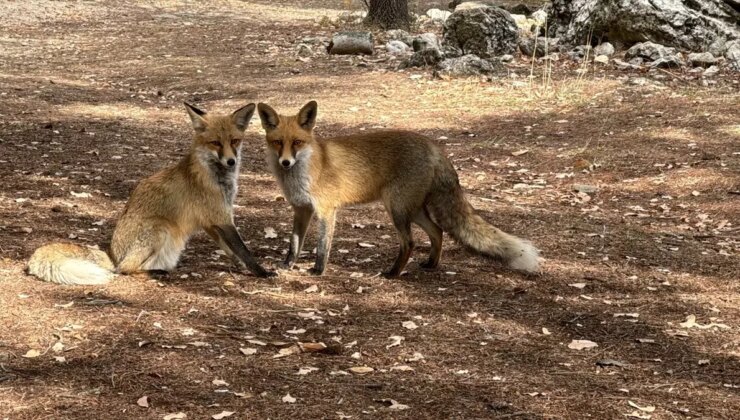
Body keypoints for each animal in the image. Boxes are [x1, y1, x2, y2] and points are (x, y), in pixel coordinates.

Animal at [26, 103, 276, 286]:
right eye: (215, 143)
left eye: (234, 141)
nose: (231, 161)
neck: (215, 174)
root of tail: (112, 253)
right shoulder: (222, 217)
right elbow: (244, 250)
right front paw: (261, 271)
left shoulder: (211, 221)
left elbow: (230, 250)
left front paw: (239, 267)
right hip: (160, 228)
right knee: (123, 269)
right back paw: (157, 273)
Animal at [258, 101, 540, 278]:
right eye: (277, 142)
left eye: (297, 142)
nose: (285, 162)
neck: (302, 173)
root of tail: (434, 146)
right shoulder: (301, 209)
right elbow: (294, 243)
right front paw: (287, 265)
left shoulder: (327, 210)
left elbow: (321, 245)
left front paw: (318, 270)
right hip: (411, 209)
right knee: (437, 232)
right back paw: (431, 264)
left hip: (396, 208)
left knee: (410, 242)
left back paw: (393, 274)